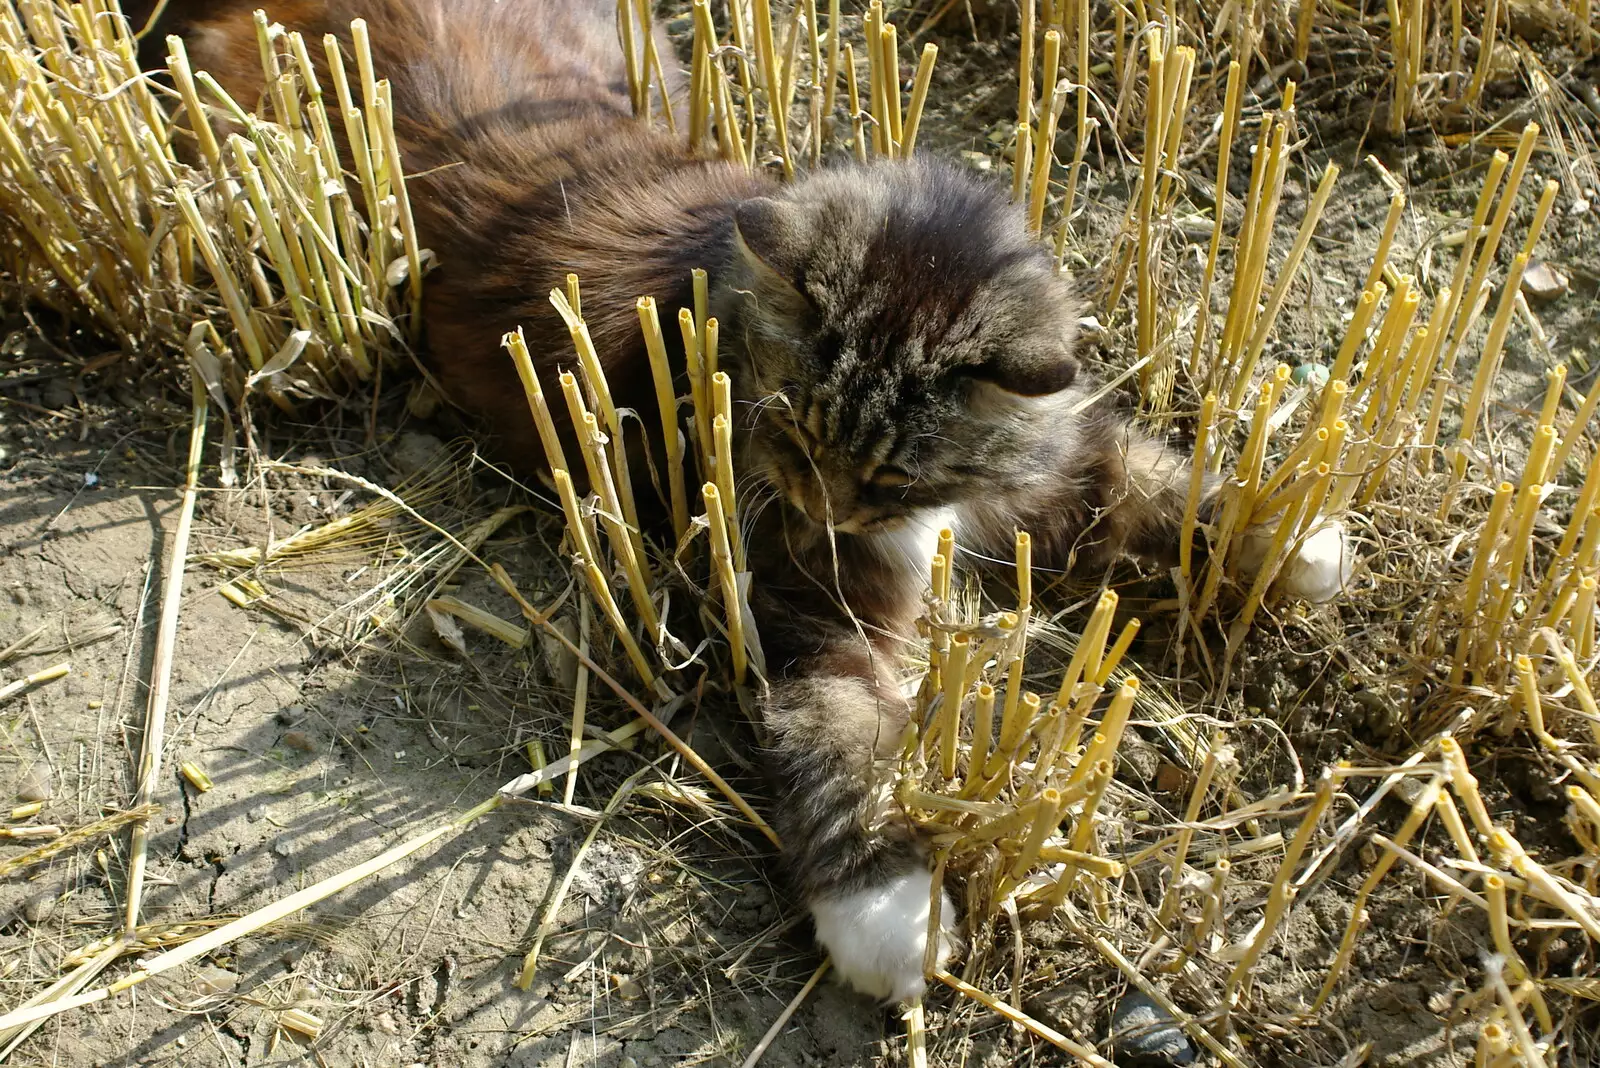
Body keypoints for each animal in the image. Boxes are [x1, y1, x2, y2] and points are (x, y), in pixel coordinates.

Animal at [134, 0, 1350, 1004]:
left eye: (896, 474)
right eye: (796, 437)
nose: (829, 508)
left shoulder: (1049, 470)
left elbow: (1150, 479)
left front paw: (1296, 540)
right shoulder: (805, 609)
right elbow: (844, 745)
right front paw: (889, 912)